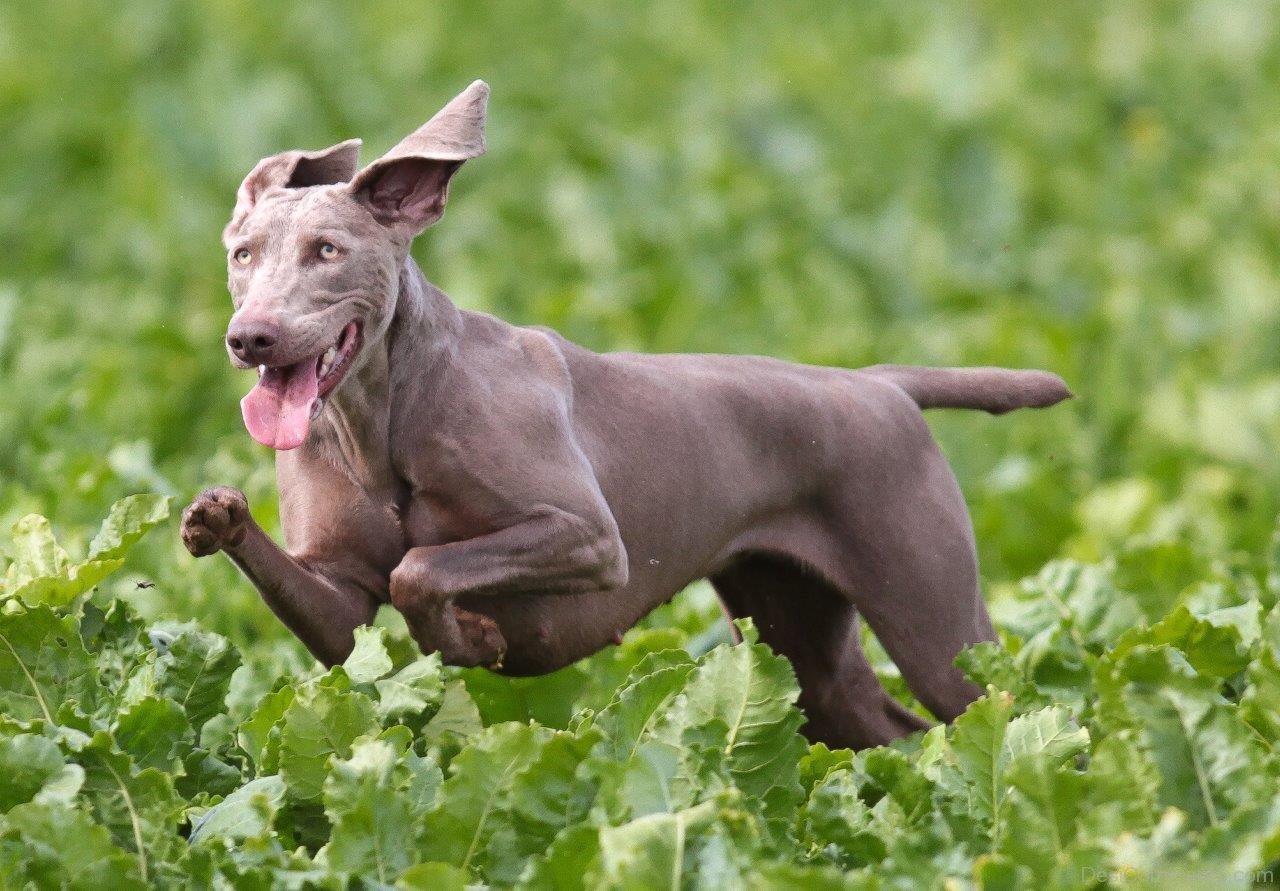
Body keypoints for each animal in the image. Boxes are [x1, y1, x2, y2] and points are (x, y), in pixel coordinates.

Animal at [183, 80, 1070, 747]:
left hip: (936, 624)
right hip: (801, 644)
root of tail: (879, 384)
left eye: (327, 251)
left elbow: (423, 568)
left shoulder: (587, 536)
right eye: (243, 255)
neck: (380, 418)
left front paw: (475, 639)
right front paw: (214, 515)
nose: (250, 336)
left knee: (1003, 710)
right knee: (891, 732)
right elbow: (355, 598)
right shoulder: (339, 599)